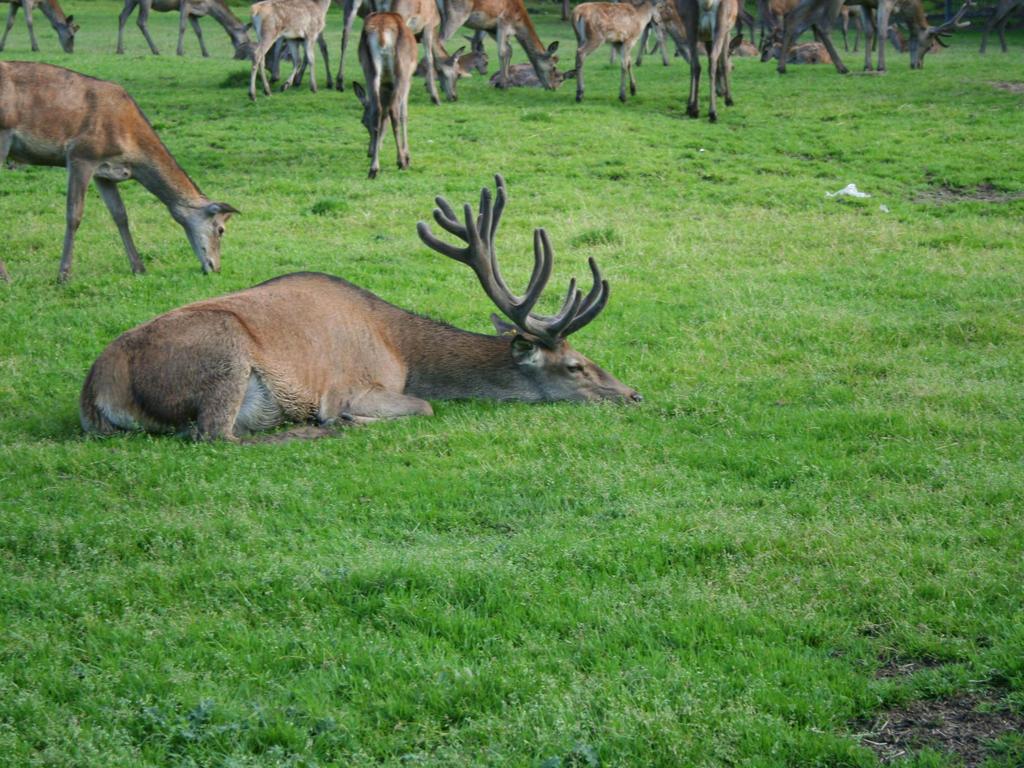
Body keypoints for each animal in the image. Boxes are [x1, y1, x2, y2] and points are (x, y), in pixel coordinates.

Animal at [0, 60, 235, 282]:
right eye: (220, 229)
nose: (215, 267)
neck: (131, 149)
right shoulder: (82, 155)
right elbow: (74, 214)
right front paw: (63, 275)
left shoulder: (104, 173)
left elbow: (120, 214)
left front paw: (139, 268)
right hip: (4, 136)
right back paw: (7, 277)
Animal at [77, 174, 638, 438]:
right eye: (576, 366)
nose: (633, 394)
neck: (403, 352)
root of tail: (95, 392)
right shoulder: (354, 385)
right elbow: (424, 406)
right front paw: (345, 420)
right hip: (224, 355)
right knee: (214, 434)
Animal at [115, 0, 250, 58]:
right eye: (247, 40)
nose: (239, 56)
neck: (210, 7)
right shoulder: (186, 5)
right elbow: (182, 27)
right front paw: (179, 51)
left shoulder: (193, 14)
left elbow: (199, 32)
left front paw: (206, 53)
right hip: (145, 1)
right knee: (141, 21)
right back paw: (155, 50)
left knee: (122, 16)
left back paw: (120, 49)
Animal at [352, 11, 415, 180]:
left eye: (362, 122)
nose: (369, 152)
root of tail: (380, 33)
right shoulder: (409, 78)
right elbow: (404, 114)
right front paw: (407, 156)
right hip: (402, 69)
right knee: (394, 110)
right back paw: (401, 162)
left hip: (369, 69)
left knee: (377, 109)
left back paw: (373, 168)